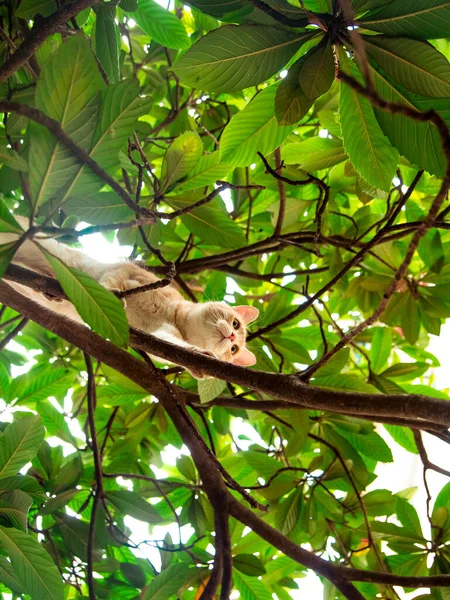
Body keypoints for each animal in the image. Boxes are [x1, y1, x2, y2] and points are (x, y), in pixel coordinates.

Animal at [1, 220, 258, 380]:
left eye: (233, 349)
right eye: (236, 323)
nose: (232, 336)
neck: (174, 316)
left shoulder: (159, 335)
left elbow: (173, 346)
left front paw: (197, 360)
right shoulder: (126, 271)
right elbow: (112, 282)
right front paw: (110, 294)